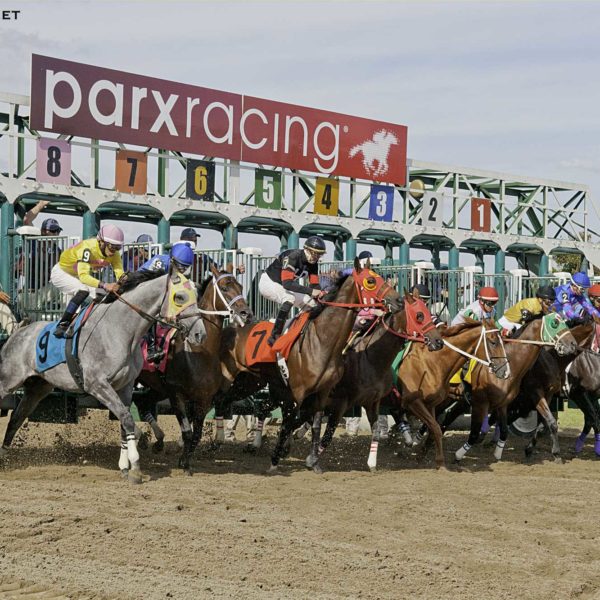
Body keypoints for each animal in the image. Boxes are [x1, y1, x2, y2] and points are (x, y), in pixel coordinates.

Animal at [0, 270, 206, 482]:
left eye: (197, 295)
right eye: (179, 297)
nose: (200, 334)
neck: (120, 331)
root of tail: (17, 332)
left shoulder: (125, 386)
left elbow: (124, 422)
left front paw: (125, 467)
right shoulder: (97, 385)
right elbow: (127, 418)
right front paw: (135, 467)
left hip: (37, 388)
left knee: (16, 418)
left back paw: (4, 457)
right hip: (8, 381)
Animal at [134, 264, 251, 472]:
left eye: (240, 286)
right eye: (224, 287)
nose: (246, 313)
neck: (200, 351)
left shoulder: (204, 399)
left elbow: (196, 434)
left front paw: (186, 459)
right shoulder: (177, 395)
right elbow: (187, 432)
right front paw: (183, 461)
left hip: (156, 387)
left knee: (142, 402)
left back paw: (156, 441)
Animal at [454, 314, 576, 464]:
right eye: (555, 323)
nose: (573, 344)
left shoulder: (544, 395)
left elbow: (545, 422)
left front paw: (534, 450)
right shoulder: (533, 392)